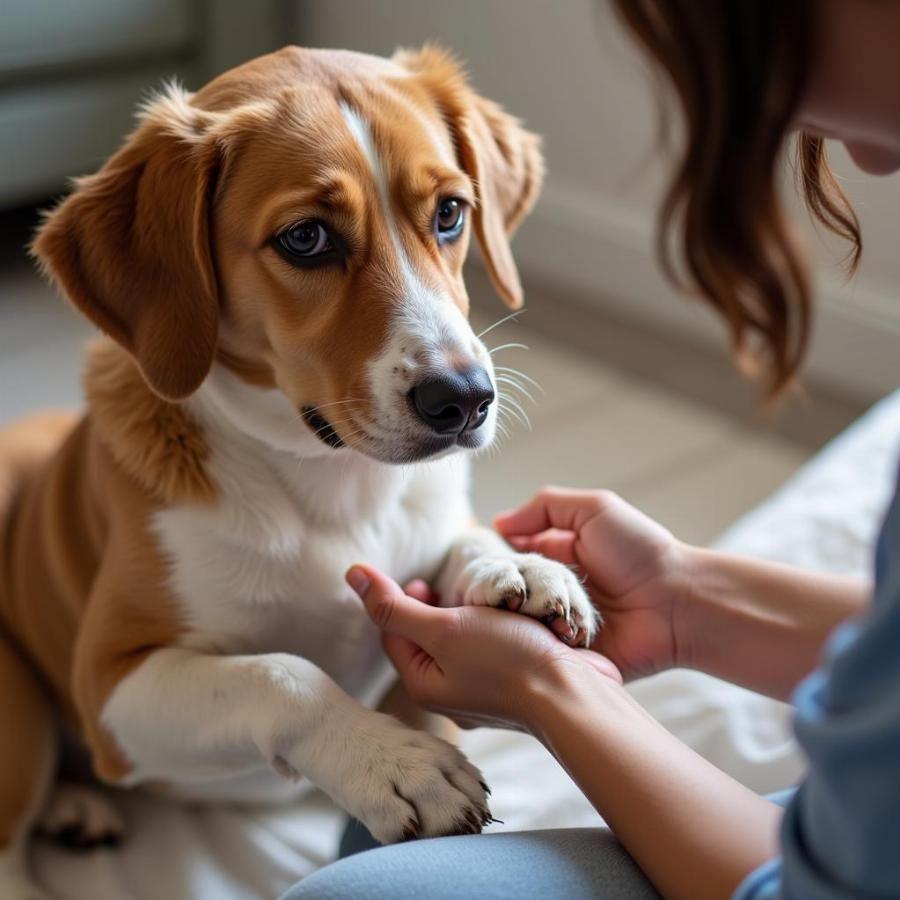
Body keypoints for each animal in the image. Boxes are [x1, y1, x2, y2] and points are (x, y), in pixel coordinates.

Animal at [0, 45, 596, 896]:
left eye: (450, 213)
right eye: (307, 238)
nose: (465, 399)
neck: (334, 486)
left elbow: (462, 539)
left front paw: (516, 566)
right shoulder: (112, 684)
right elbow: (280, 672)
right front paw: (391, 761)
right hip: (14, 708)